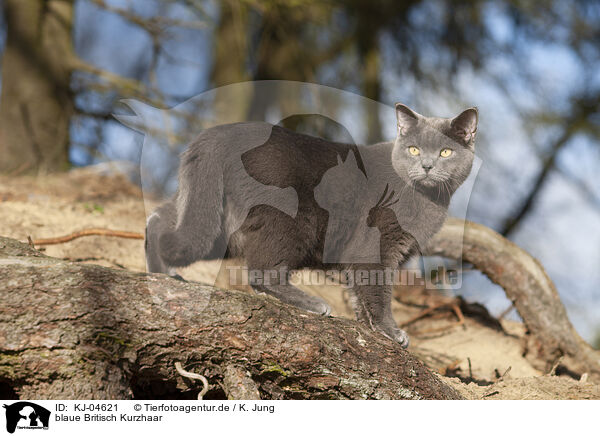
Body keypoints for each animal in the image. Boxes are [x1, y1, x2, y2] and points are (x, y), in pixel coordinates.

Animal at [145, 104, 478, 350]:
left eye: (445, 152)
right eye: (413, 149)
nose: (427, 166)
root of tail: (220, 134)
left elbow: (358, 290)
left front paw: (367, 326)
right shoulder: (376, 247)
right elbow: (378, 292)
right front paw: (390, 331)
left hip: (214, 215)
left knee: (159, 222)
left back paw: (161, 274)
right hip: (291, 219)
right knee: (261, 272)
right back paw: (313, 304)